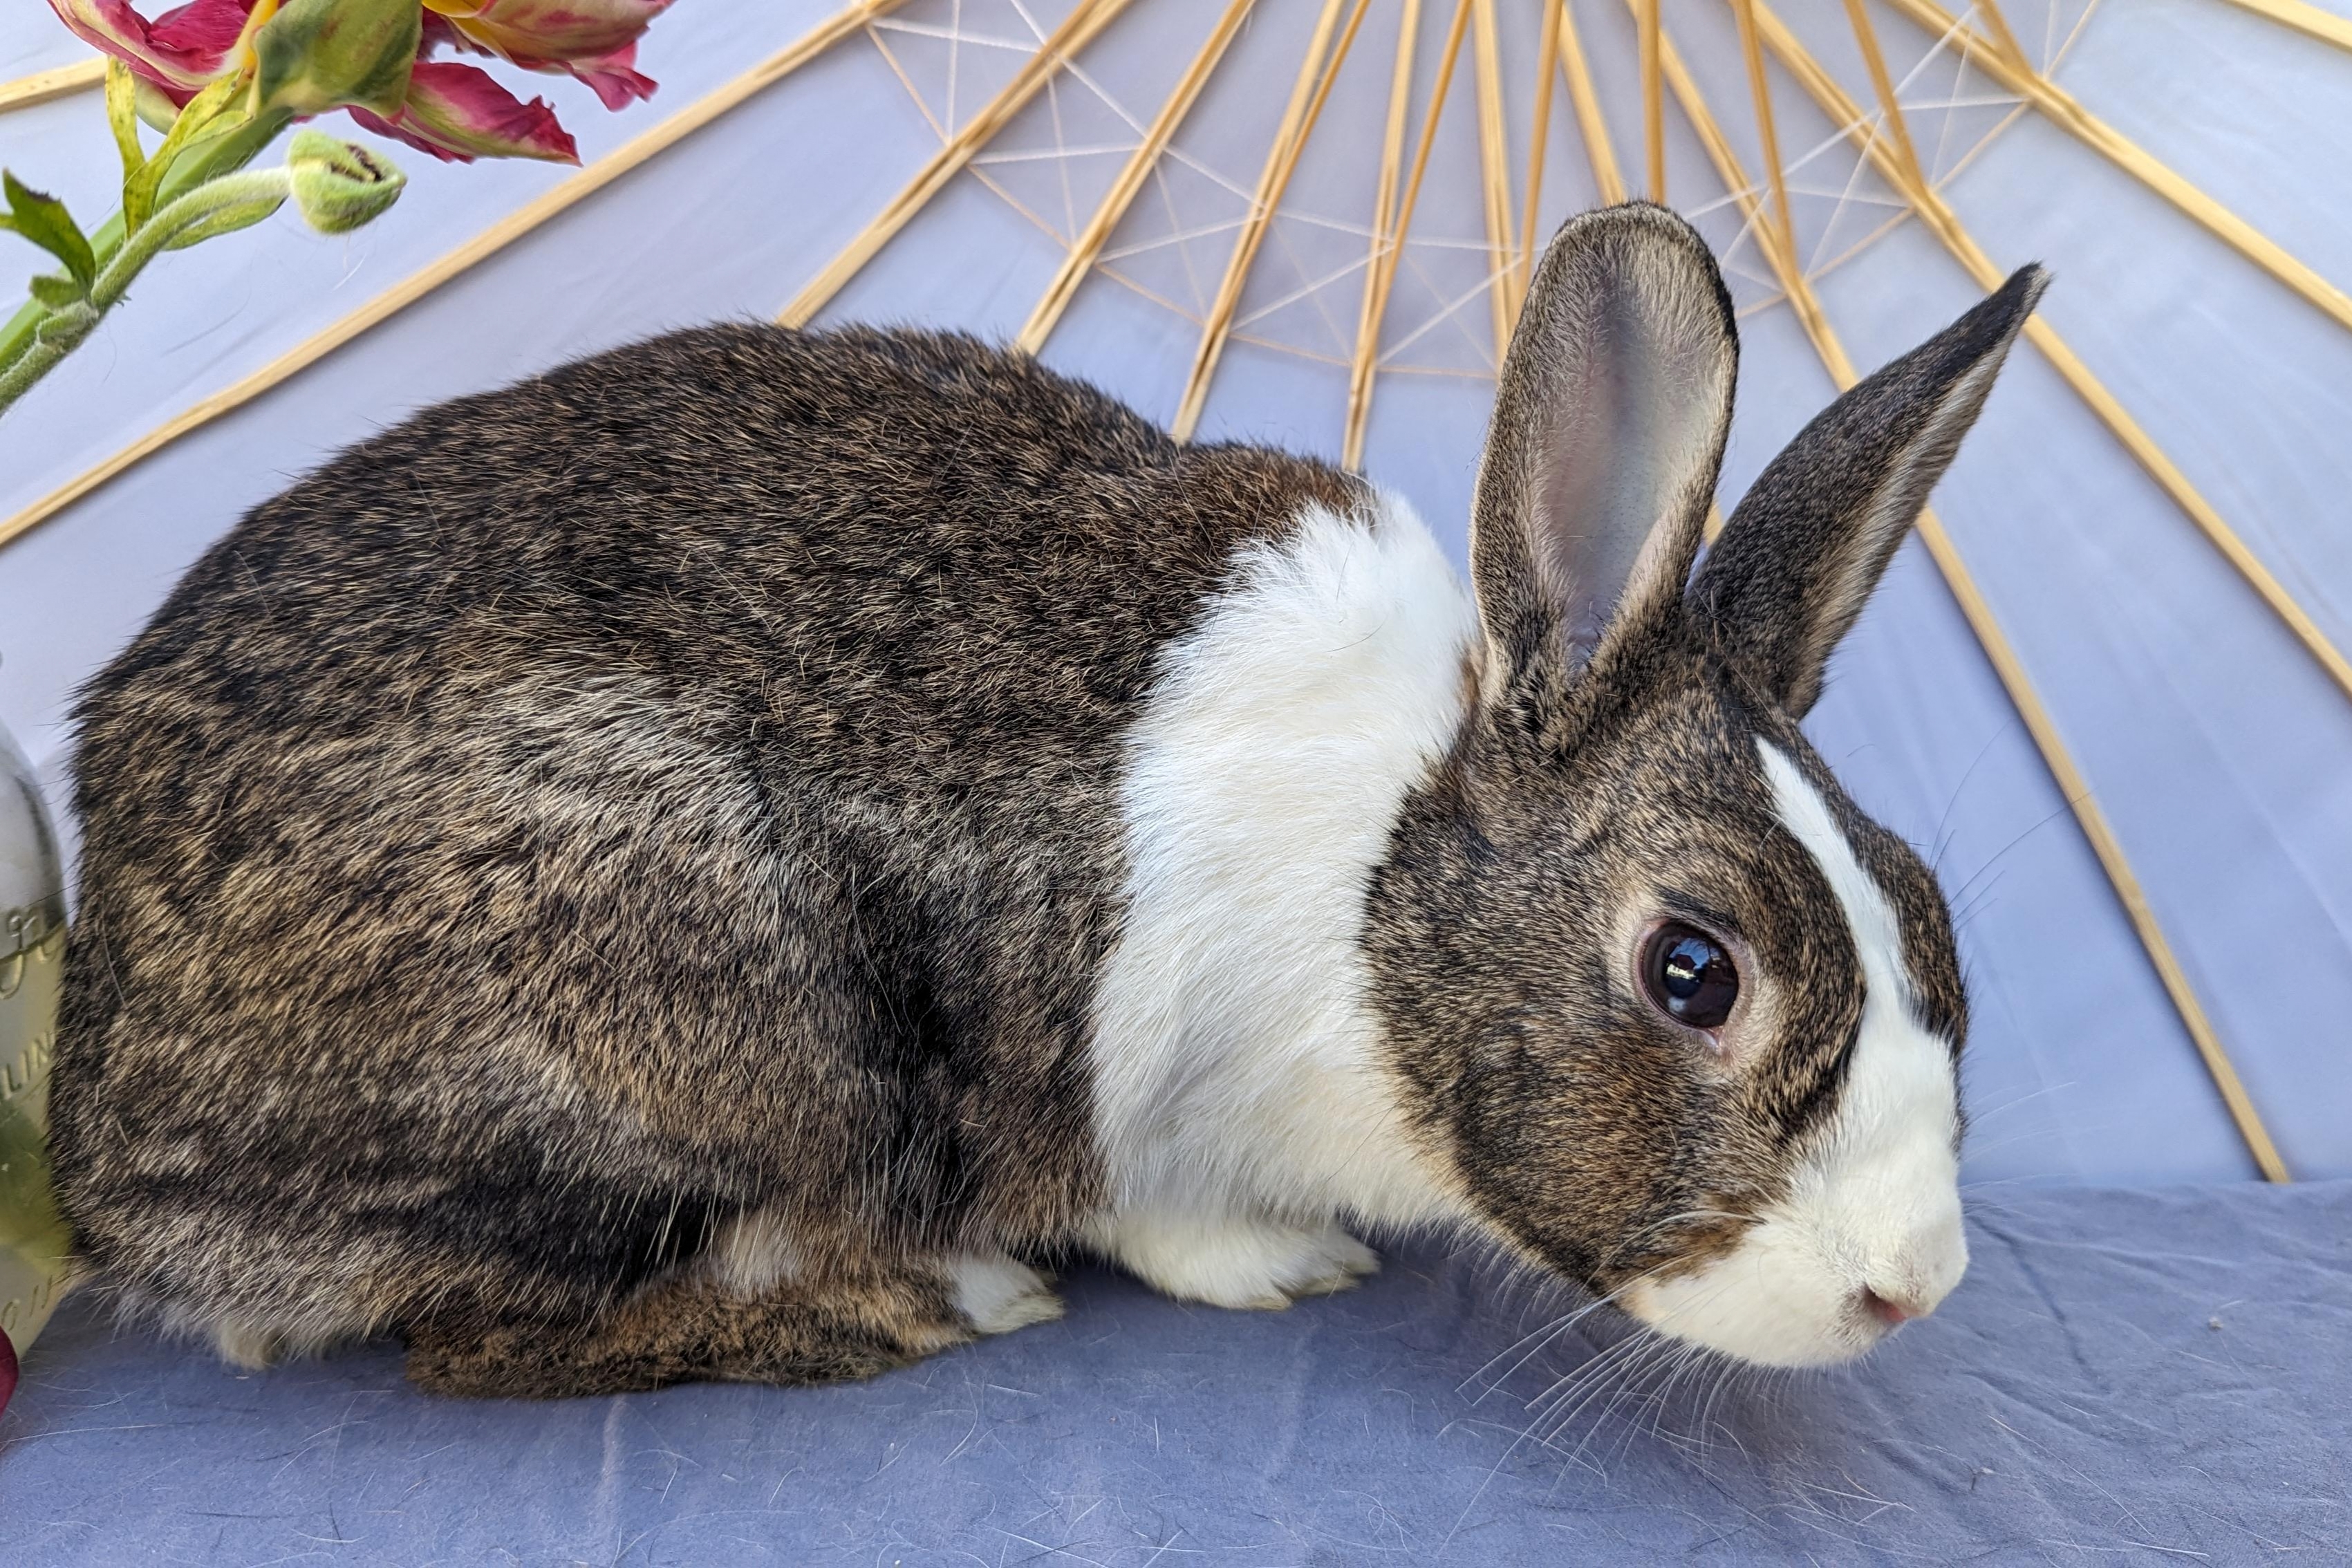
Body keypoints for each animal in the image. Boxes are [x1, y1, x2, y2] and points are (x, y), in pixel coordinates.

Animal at [47, 203, 2044, 1397]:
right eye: (1694, 970)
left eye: (1929, 909)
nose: (1914, 1288)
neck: (1374, 893)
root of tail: (100, 1143)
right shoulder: (1117, 1092)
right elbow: (1154, 1213)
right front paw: (1286, 1269)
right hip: (702, 1015)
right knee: (490, 1340)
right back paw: (943, 1298)